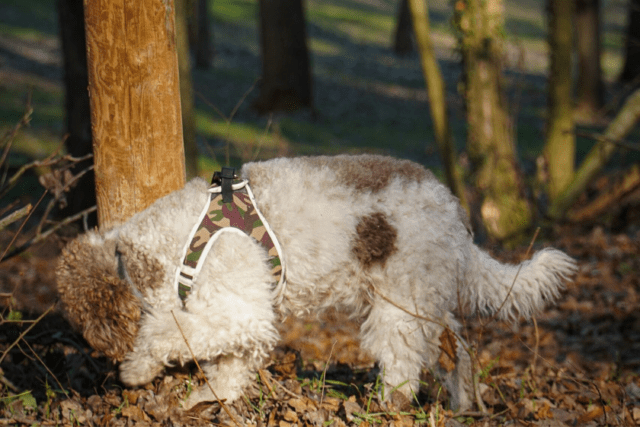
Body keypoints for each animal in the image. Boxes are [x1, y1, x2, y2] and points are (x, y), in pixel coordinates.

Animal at [56, 155, 576, 412]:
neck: (178, 241)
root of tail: (454, 210)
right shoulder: (244, 319)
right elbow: (228, 366)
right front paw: (209, 400)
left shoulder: (242, 312)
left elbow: (170, 333)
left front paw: (137, 369)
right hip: (423, 297)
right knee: (457, 347)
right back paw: (465, 404)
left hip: (400, 304)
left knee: (405, 364)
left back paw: (389, 405)